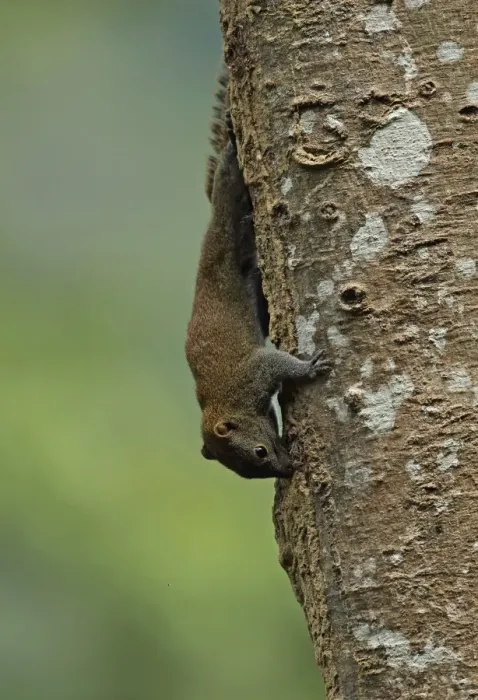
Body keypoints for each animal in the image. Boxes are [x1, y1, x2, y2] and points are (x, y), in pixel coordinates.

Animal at [185, 67, 330, 480]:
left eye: (260, 452)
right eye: (247, 472)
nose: (288, 470)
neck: (224, 403)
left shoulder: (254, 374)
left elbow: (279, 363)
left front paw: (310, 368)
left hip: (226, 213)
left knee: (228, 181)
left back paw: (233, 146)